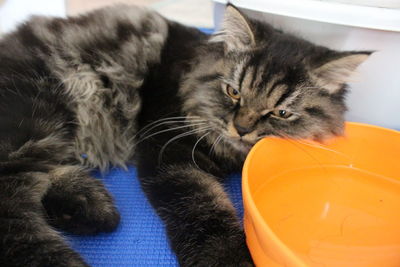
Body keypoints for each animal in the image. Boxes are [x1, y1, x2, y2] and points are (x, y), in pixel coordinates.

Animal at [0, 3, 370, 266]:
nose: (242, 128)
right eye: (233, 92)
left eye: (280, 113)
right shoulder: (169, 149)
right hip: (35, 120)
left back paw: (90, 208)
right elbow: (204, 213)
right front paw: (231, 259)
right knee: (14, 206)